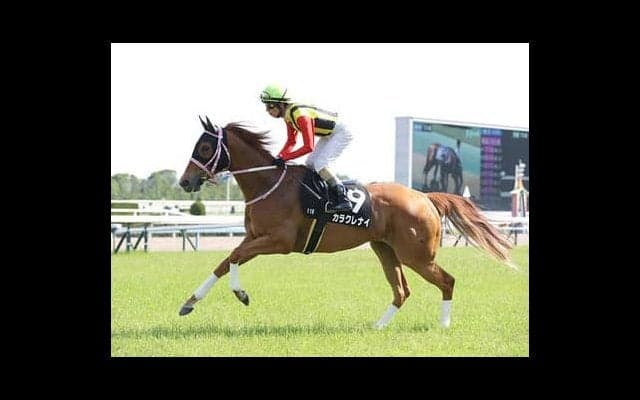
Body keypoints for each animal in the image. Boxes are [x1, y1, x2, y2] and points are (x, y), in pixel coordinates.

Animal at [178, 116, 513, 329]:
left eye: (204, 148)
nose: (185, 182)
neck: (269, 183)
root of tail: (425, 197)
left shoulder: (279, 242)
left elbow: (233, 257)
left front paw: (241, 294)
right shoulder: (255, 238)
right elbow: (225, 262)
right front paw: (190, 302)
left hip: (415, 255)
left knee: (447, 281)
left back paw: (443, 326)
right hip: (385, 250)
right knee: (402, 291)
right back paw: (378, 327)